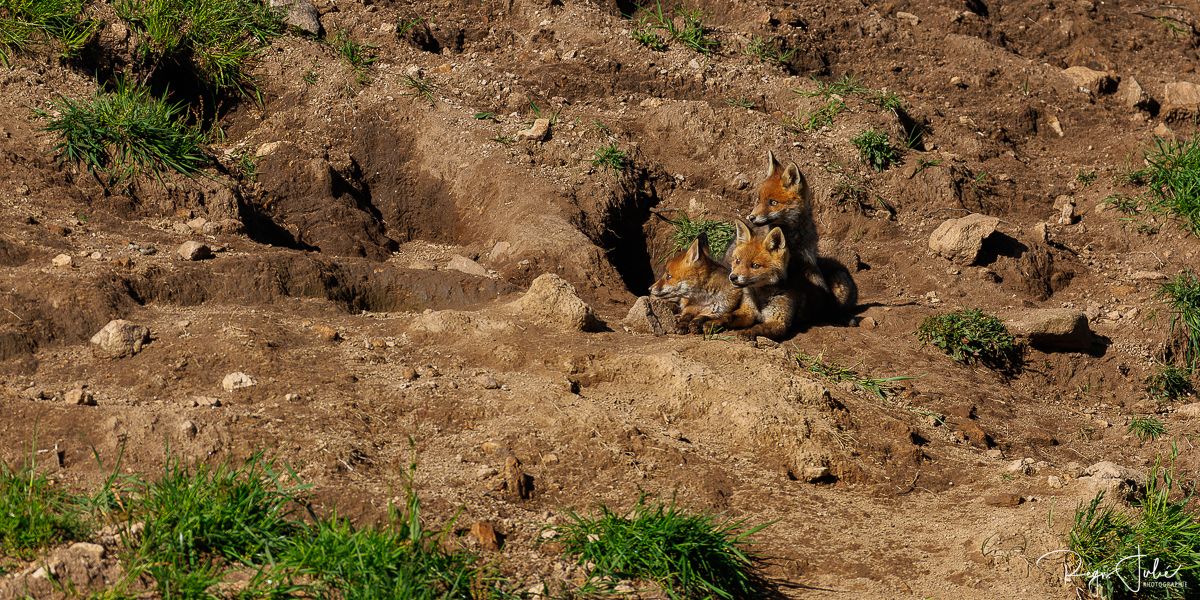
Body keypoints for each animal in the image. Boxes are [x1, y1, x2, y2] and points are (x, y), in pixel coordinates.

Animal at [748, 150, 854, 312]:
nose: (751, 217)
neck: (791, 241)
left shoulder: (807, 261)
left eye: (773, 202)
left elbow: (818, 287)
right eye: (758, 200)